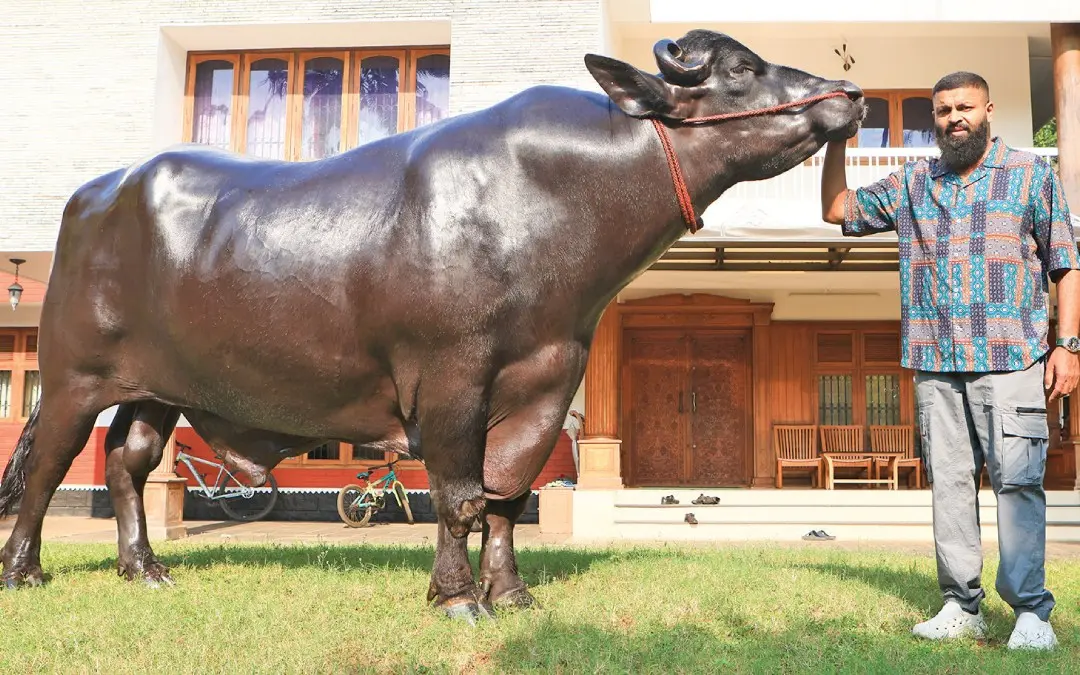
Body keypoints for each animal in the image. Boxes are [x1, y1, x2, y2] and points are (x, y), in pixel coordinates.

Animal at [0, 30, 865, 621]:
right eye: (741, 71)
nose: (849, 96)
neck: (551, 202)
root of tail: (98, 191)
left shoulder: (551, 380)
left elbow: (508, 497)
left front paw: (511, 593)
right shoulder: (452, 377)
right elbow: (458, 496)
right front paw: (456, 599)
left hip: (157, 387)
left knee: (128, 462)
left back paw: (143, 568)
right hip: (73, 375)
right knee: (48, 467)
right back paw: (25, 570)